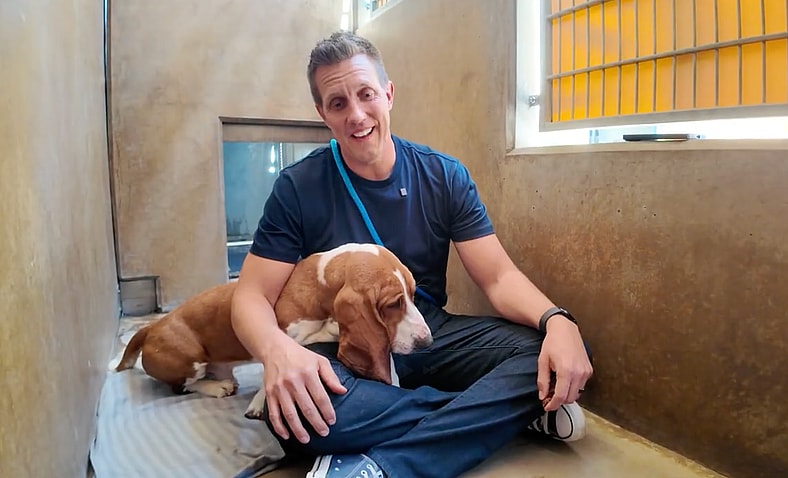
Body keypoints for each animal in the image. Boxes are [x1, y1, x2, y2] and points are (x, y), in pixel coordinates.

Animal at [113, 243, 433, 419]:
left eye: (413, 294)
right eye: (393, 304)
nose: (427, 341)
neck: (321, 289)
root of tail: (152, 326)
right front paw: (259, 401)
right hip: (189, 359)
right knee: (181, 386)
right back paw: (217, 387)